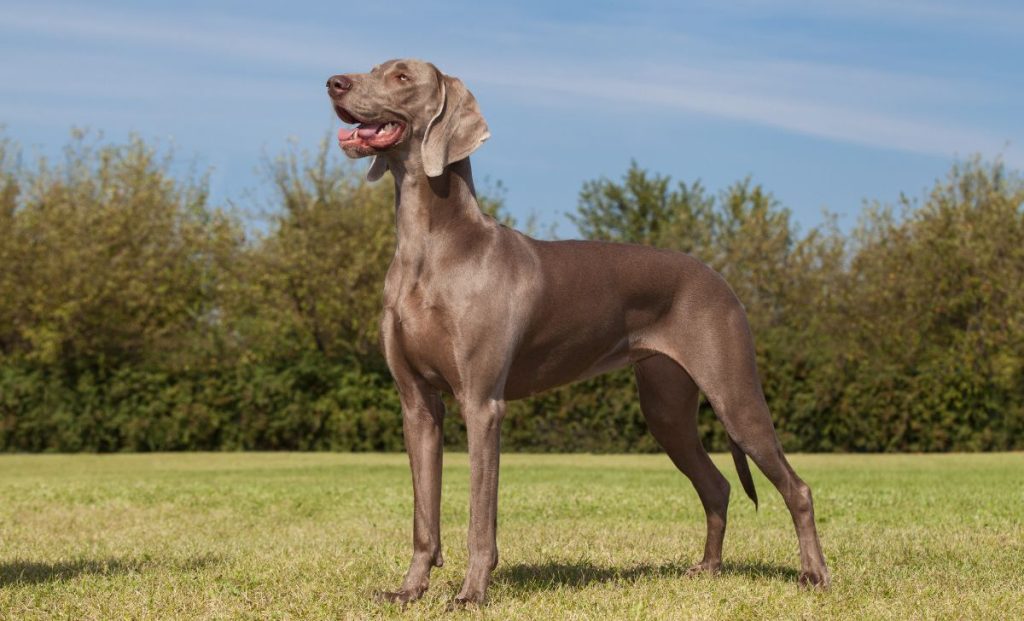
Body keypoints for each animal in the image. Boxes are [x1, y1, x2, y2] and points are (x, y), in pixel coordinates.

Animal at [327, 59, 831, 606]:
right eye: (374, 68)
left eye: (401, 76)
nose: (334, 83)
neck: (431, 247)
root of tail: (720, 279)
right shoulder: (417, 405)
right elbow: (425, 518)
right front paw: (409, 590)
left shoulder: (482, 404)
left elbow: (481, 517)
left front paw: (472, 593)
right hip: (666, 407)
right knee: (716, 484)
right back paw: (709, 568)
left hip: (734, 395)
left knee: (797, 488)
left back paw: (814, 574)